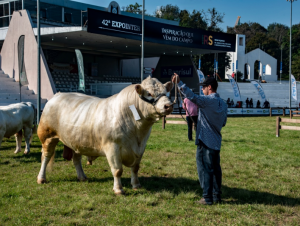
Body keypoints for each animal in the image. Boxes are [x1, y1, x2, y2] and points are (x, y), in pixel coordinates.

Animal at [37, 77, 173, 193]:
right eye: (149, 93)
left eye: (166, 92)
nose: (169, 105)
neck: (137, 131)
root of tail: (58, 94)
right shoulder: (112, 147)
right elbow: (117, 170)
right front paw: (118, 189)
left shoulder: (141, 147)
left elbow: (135, 168)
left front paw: (136, 185)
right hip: (47, 137)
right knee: (46, 157)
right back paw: (41, 178)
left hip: (77, 140)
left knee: (76, 159)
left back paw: (82, 177)